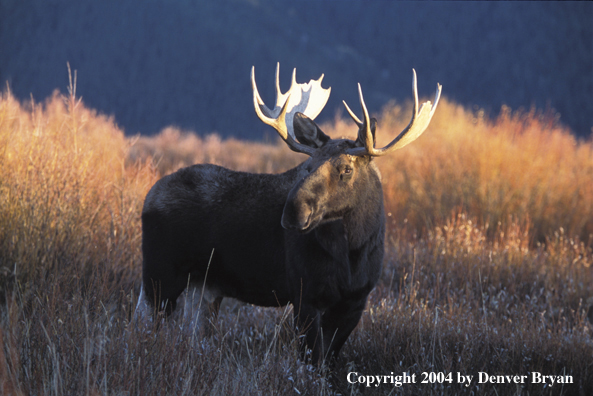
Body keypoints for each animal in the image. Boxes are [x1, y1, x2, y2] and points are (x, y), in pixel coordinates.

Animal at [135, 63, 440, 364]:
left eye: (346, 169)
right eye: (308, 165)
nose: (294, 212)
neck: (353, 250)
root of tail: (150, 195)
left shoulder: (356, 300)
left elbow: (329, 360)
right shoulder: (305, 295)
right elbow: (313, 361)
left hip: (204, 284)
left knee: (191, 333)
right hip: (160, 274)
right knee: (141, 321)